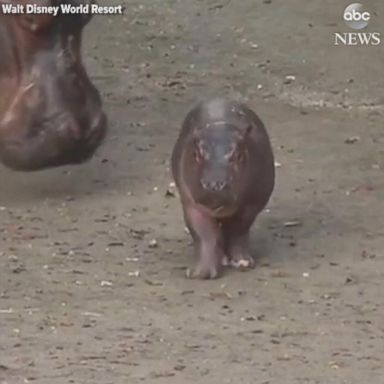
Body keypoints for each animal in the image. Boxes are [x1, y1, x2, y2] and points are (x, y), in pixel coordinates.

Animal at [172, 99, 274, 280]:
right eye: (196, 154)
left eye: (239, 155)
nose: (213, 184)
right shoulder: (191, 203)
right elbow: (203, 234)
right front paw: (200, 273)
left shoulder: (251, 203)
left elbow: (238, 228)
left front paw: (242, 263)